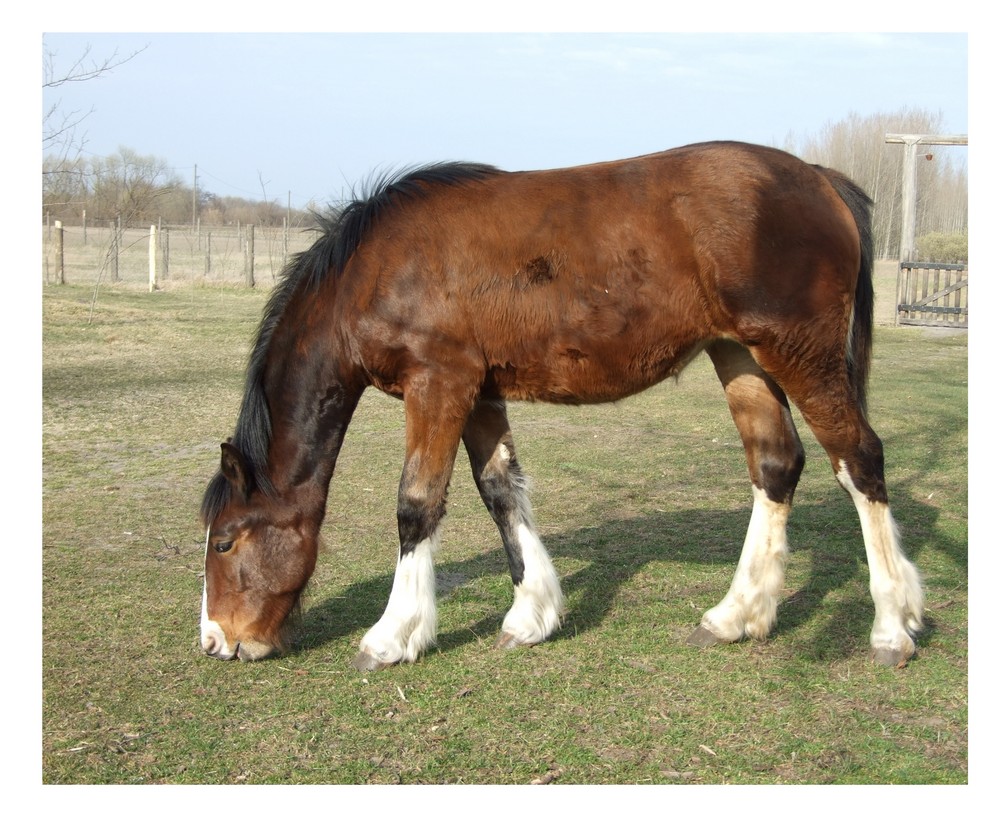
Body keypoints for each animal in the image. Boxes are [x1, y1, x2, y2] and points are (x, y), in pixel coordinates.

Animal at [199, 141, 924, 672]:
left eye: (227, 539)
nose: (216, 639)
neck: (376, 266)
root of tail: (820, 179)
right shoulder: (478, 391)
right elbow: (500, 491)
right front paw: (532, 614)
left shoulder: (438, 383)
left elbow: (416, 504)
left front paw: (393, 634)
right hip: (741, 356)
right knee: (777, 466)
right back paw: (737, 614)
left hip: (800, 356)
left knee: (860, 460)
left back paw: (892, 626)